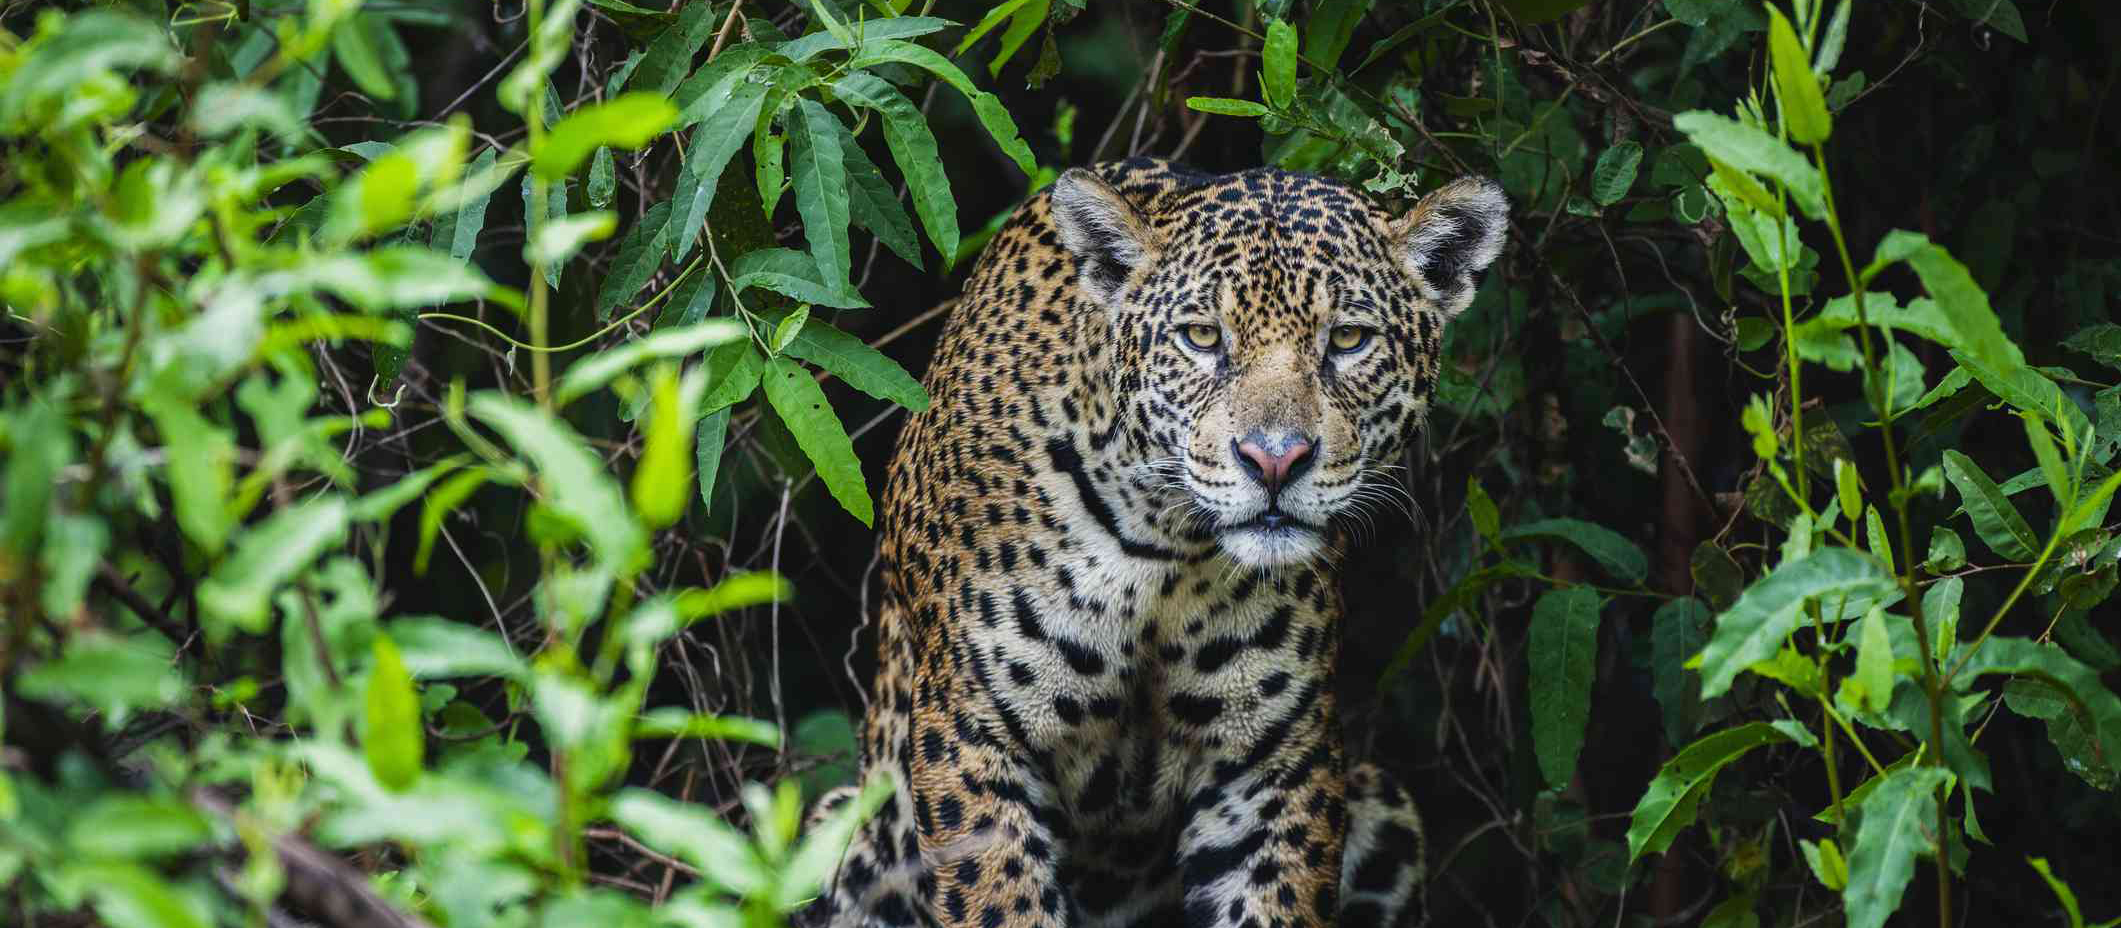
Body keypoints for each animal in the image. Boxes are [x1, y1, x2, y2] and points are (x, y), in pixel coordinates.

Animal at [804, 157, 1508, 928]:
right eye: (1201, 337)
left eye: (1350, 340)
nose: (1274, 460)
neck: (1167, 548)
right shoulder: (974, 738)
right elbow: (1000, 900)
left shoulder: (1270, 767)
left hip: (1385, 809)